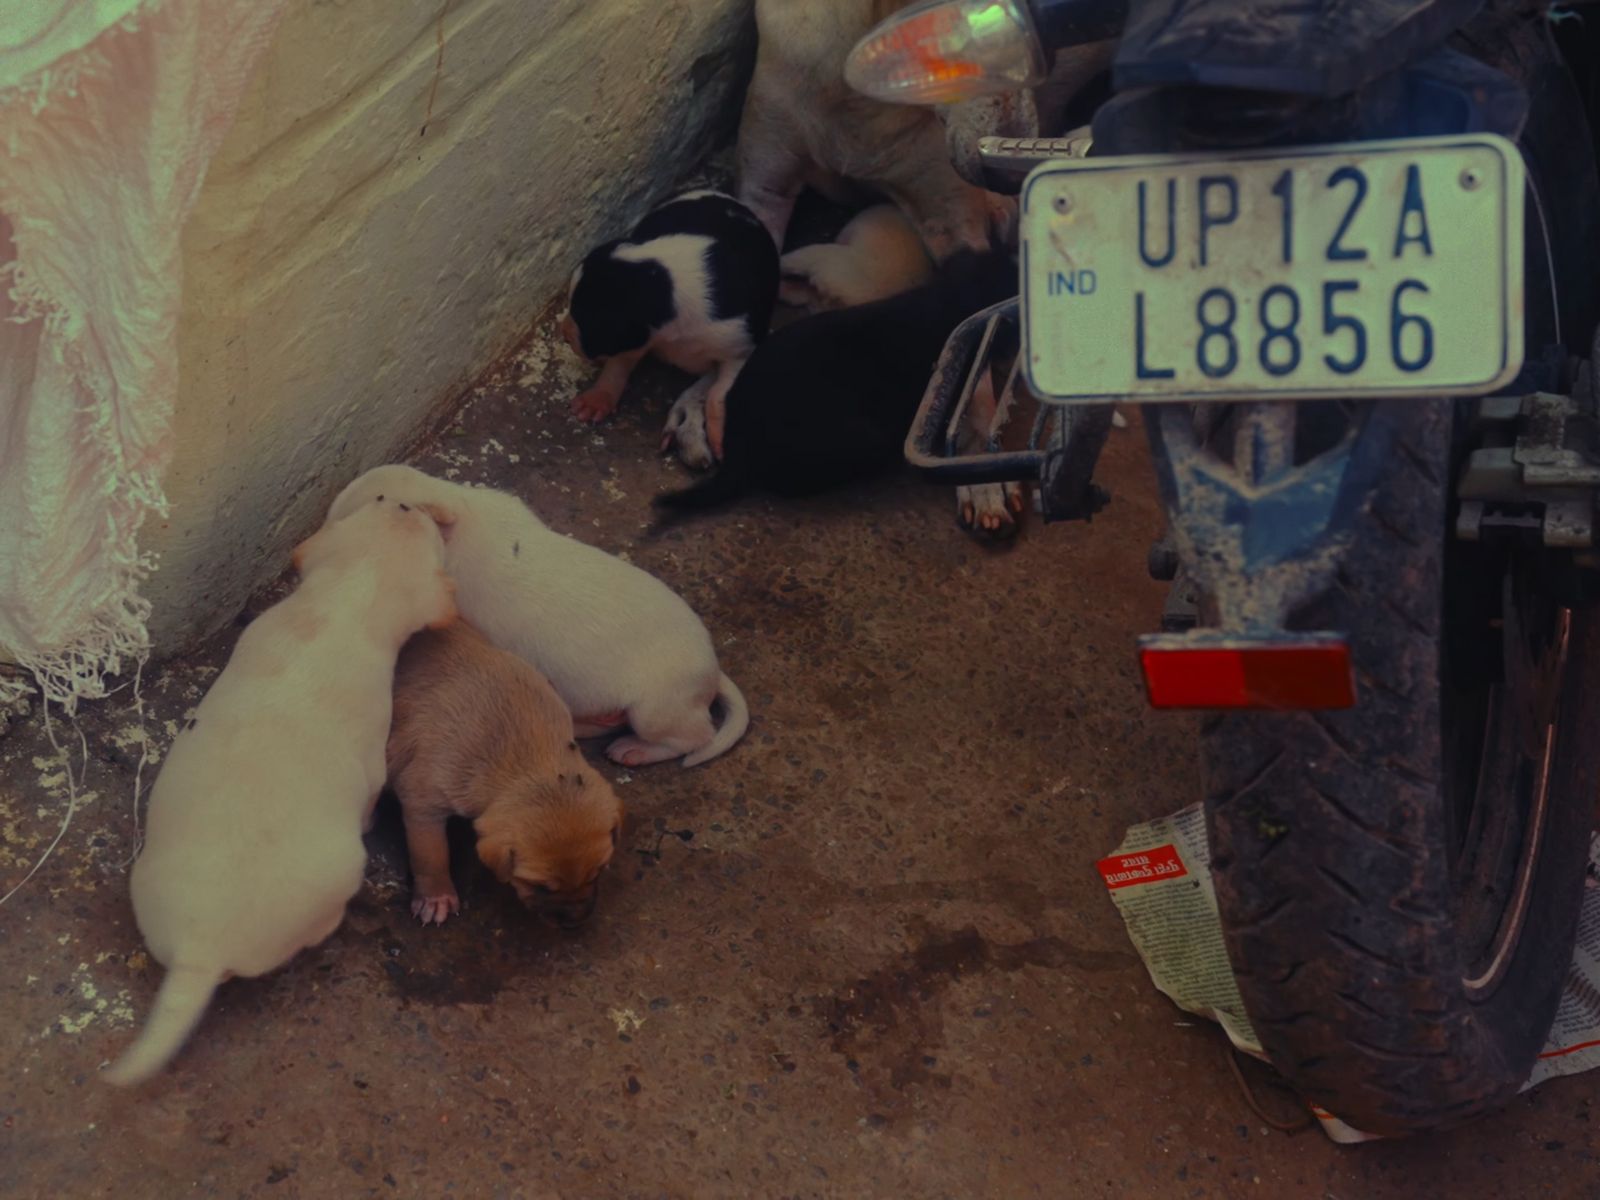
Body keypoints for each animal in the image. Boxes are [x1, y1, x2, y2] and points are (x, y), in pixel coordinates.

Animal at [104, 499, 457, 1088]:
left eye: (386, 503)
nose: (407, 501)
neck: (342, 605)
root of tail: (201, 949)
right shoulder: (373, 761)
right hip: (341, 874)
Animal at [328, 467, 752, 771]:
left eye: (378, 506)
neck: (461, 514)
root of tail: (712, 674)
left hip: (657, 708)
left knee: (695, 737)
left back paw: (632, 752)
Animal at [384, 624, 620, 934]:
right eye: (540, 886)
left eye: (598, 872)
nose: (575, 920)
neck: (526, 754)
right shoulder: (422, 802)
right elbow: (431, 853)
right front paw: (436, 896)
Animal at [563, 188, 780, 470]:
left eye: (583, 316)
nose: (563, 333)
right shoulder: (641, 337)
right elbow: (617, 366)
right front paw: (589, 406)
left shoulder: (741, 344)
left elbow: (721, 391)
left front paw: (719, 444)